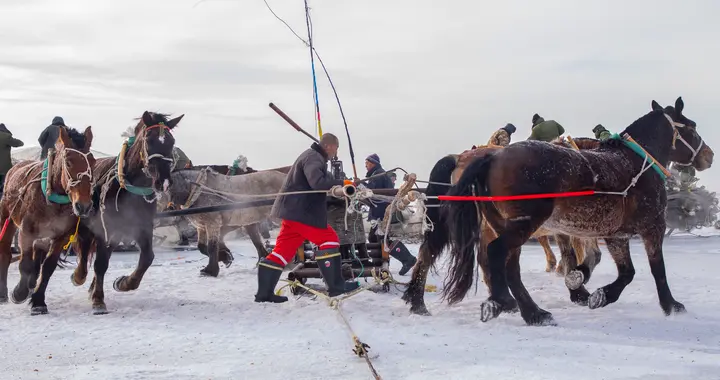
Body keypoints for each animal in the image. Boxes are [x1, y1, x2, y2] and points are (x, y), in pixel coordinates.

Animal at [0, 126, 95, 314]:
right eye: (69, 162)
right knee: (5, 253)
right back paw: (4, 292)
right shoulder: (26, 232)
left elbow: (48, 266)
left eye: (93, 161)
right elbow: (25, 264)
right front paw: (19, 292)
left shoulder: (61, 236)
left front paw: (38, 300)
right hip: (7, 216)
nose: (84, 206)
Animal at [65, 110, 183, 314]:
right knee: (86, 249)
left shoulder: (142, 227)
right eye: (149, 140)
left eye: (172, 141)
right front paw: (98, 299)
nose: (164, 182)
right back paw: (80, 277)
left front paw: (124, 283)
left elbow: (147, 257)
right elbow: (100, 263)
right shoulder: (104, 229)